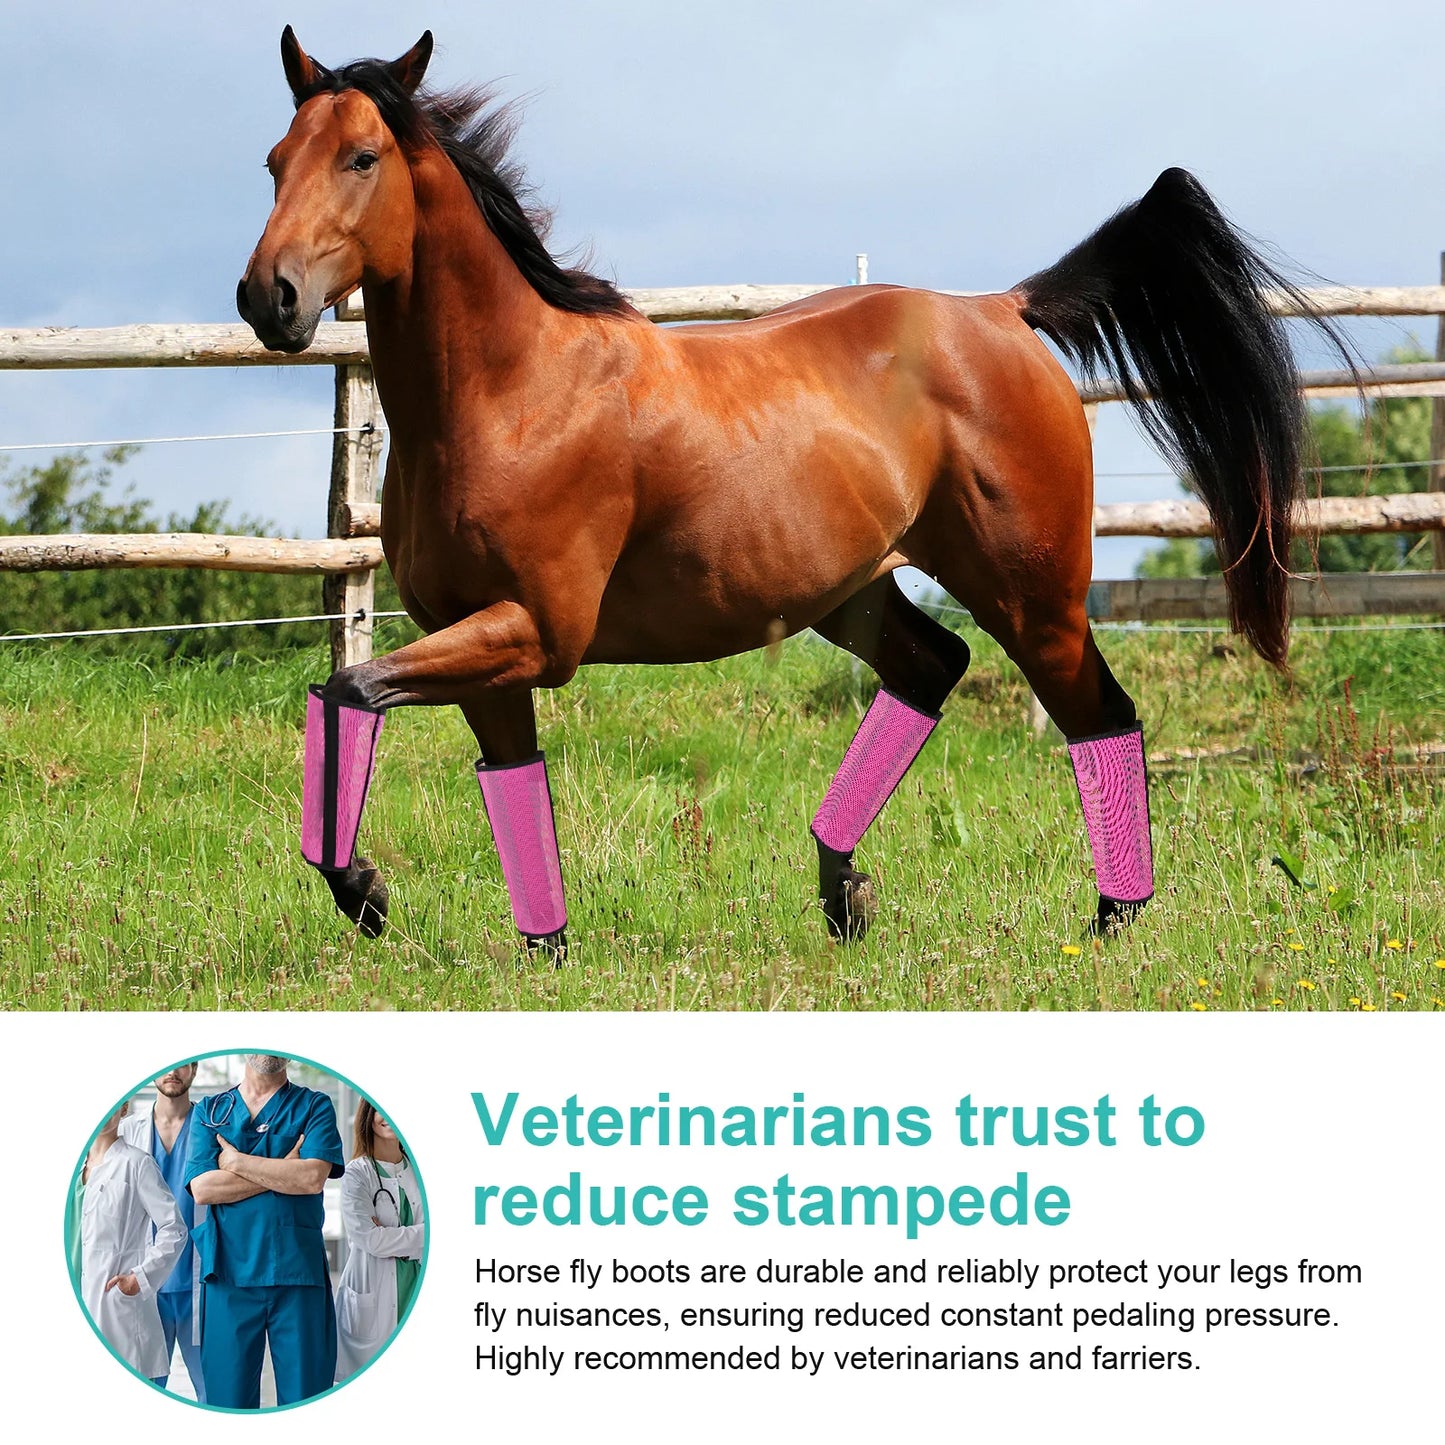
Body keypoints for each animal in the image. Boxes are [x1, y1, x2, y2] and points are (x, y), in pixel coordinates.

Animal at [237, 28, 1345, 957]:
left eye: (361, 158)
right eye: (274, 160)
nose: (268, 298)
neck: (512, 394)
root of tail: (1005, 308)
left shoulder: (537, 632)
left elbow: (345, 687)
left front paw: (366, 892)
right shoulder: (487, 650)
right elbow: (495, 773)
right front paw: (538, 949)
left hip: (1032, 596)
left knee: (1097, 713)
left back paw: (1109, 921)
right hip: (850, 591)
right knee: (933, 664)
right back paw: (843, 890)